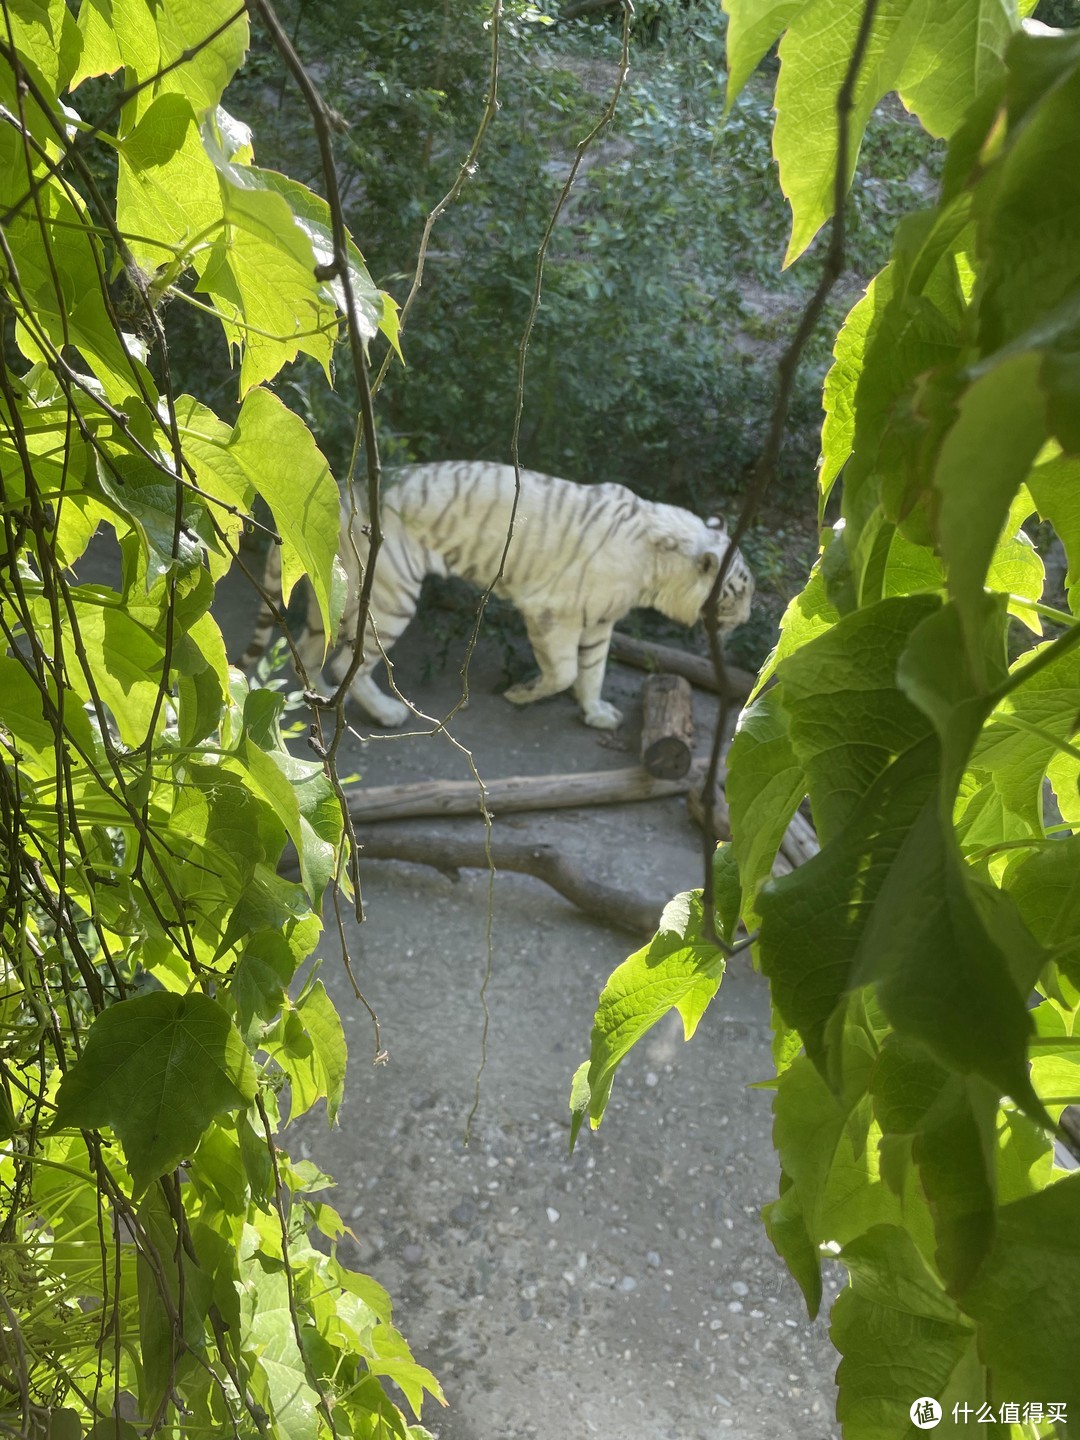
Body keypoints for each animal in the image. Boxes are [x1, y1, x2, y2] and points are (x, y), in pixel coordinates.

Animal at [241, 463, 754, 731]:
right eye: (739, 593)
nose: (749, 620)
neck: (657, 563)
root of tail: (343, 499)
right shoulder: (553, 613)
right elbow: (566, 672)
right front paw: (523, 693)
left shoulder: (599, 621)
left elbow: (592, 672)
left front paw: (596, 713)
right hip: (389, 599)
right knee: (350, 662)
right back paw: (385, 712)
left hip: (331, 602)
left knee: (310, 650)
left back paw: (318, 701)